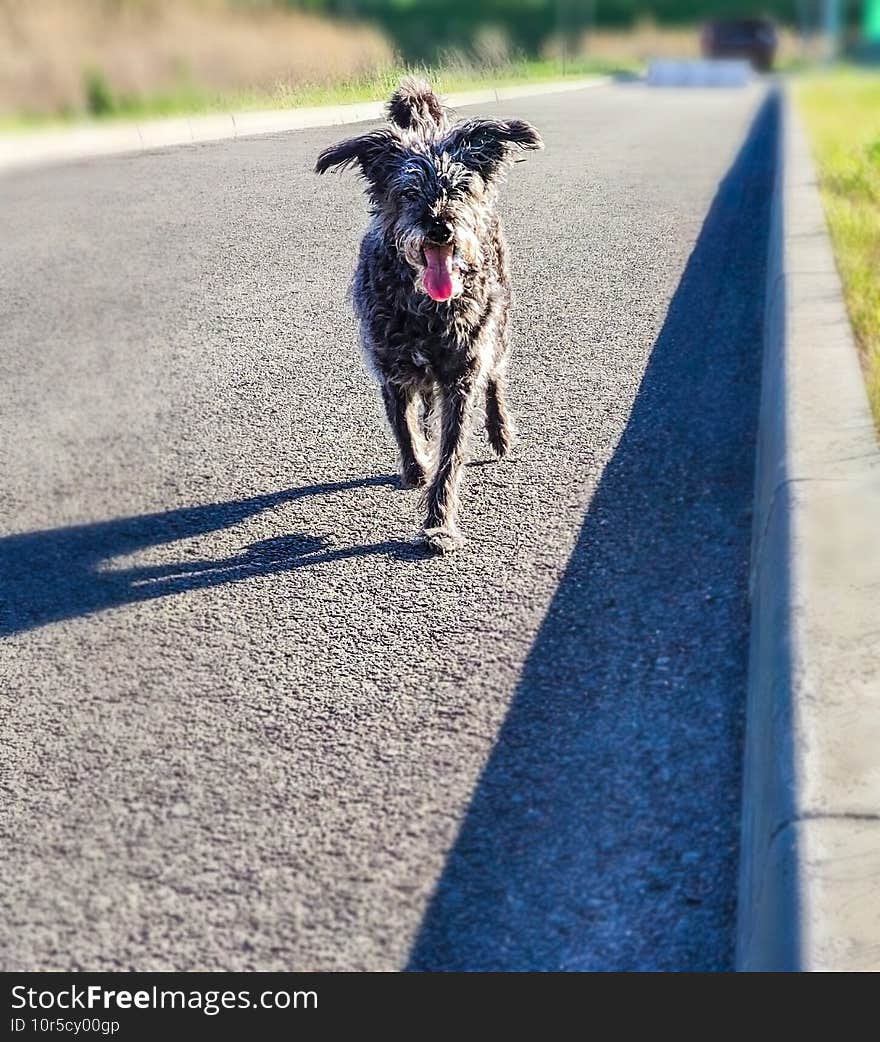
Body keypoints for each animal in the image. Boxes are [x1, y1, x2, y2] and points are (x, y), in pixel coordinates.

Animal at [312, 79, 537, 554]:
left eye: (460, 188)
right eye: (409, 191)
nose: (439, 226)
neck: (426, 308)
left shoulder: (461, 376)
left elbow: (452, 452)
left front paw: (439, 523)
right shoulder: (391, 370)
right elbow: (405, 428)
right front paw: (415, 468)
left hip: (499, 325)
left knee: (496, 376)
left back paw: (500, 432)